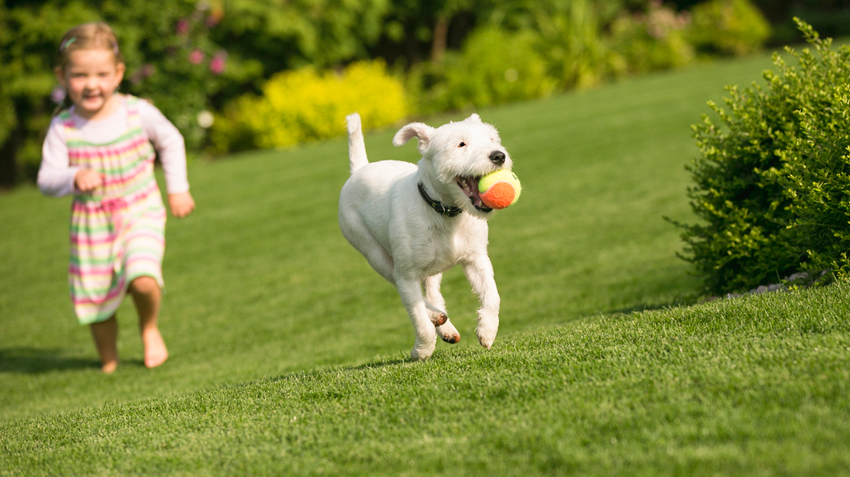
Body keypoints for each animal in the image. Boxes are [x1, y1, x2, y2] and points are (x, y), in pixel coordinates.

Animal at [336, 112, 510, 356]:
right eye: (461, 144)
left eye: (493, 139)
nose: (499, 155)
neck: (446, 212)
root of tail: (360, 169)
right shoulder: (406, 275)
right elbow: (418, 316)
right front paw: (422, 350)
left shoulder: (476, 259)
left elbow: (492, 294)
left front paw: (487, 330)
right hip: (374, 253)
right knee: (404, 288)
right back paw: (435, 317)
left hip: (431, 265)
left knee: (432, 291)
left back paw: (445, 325)